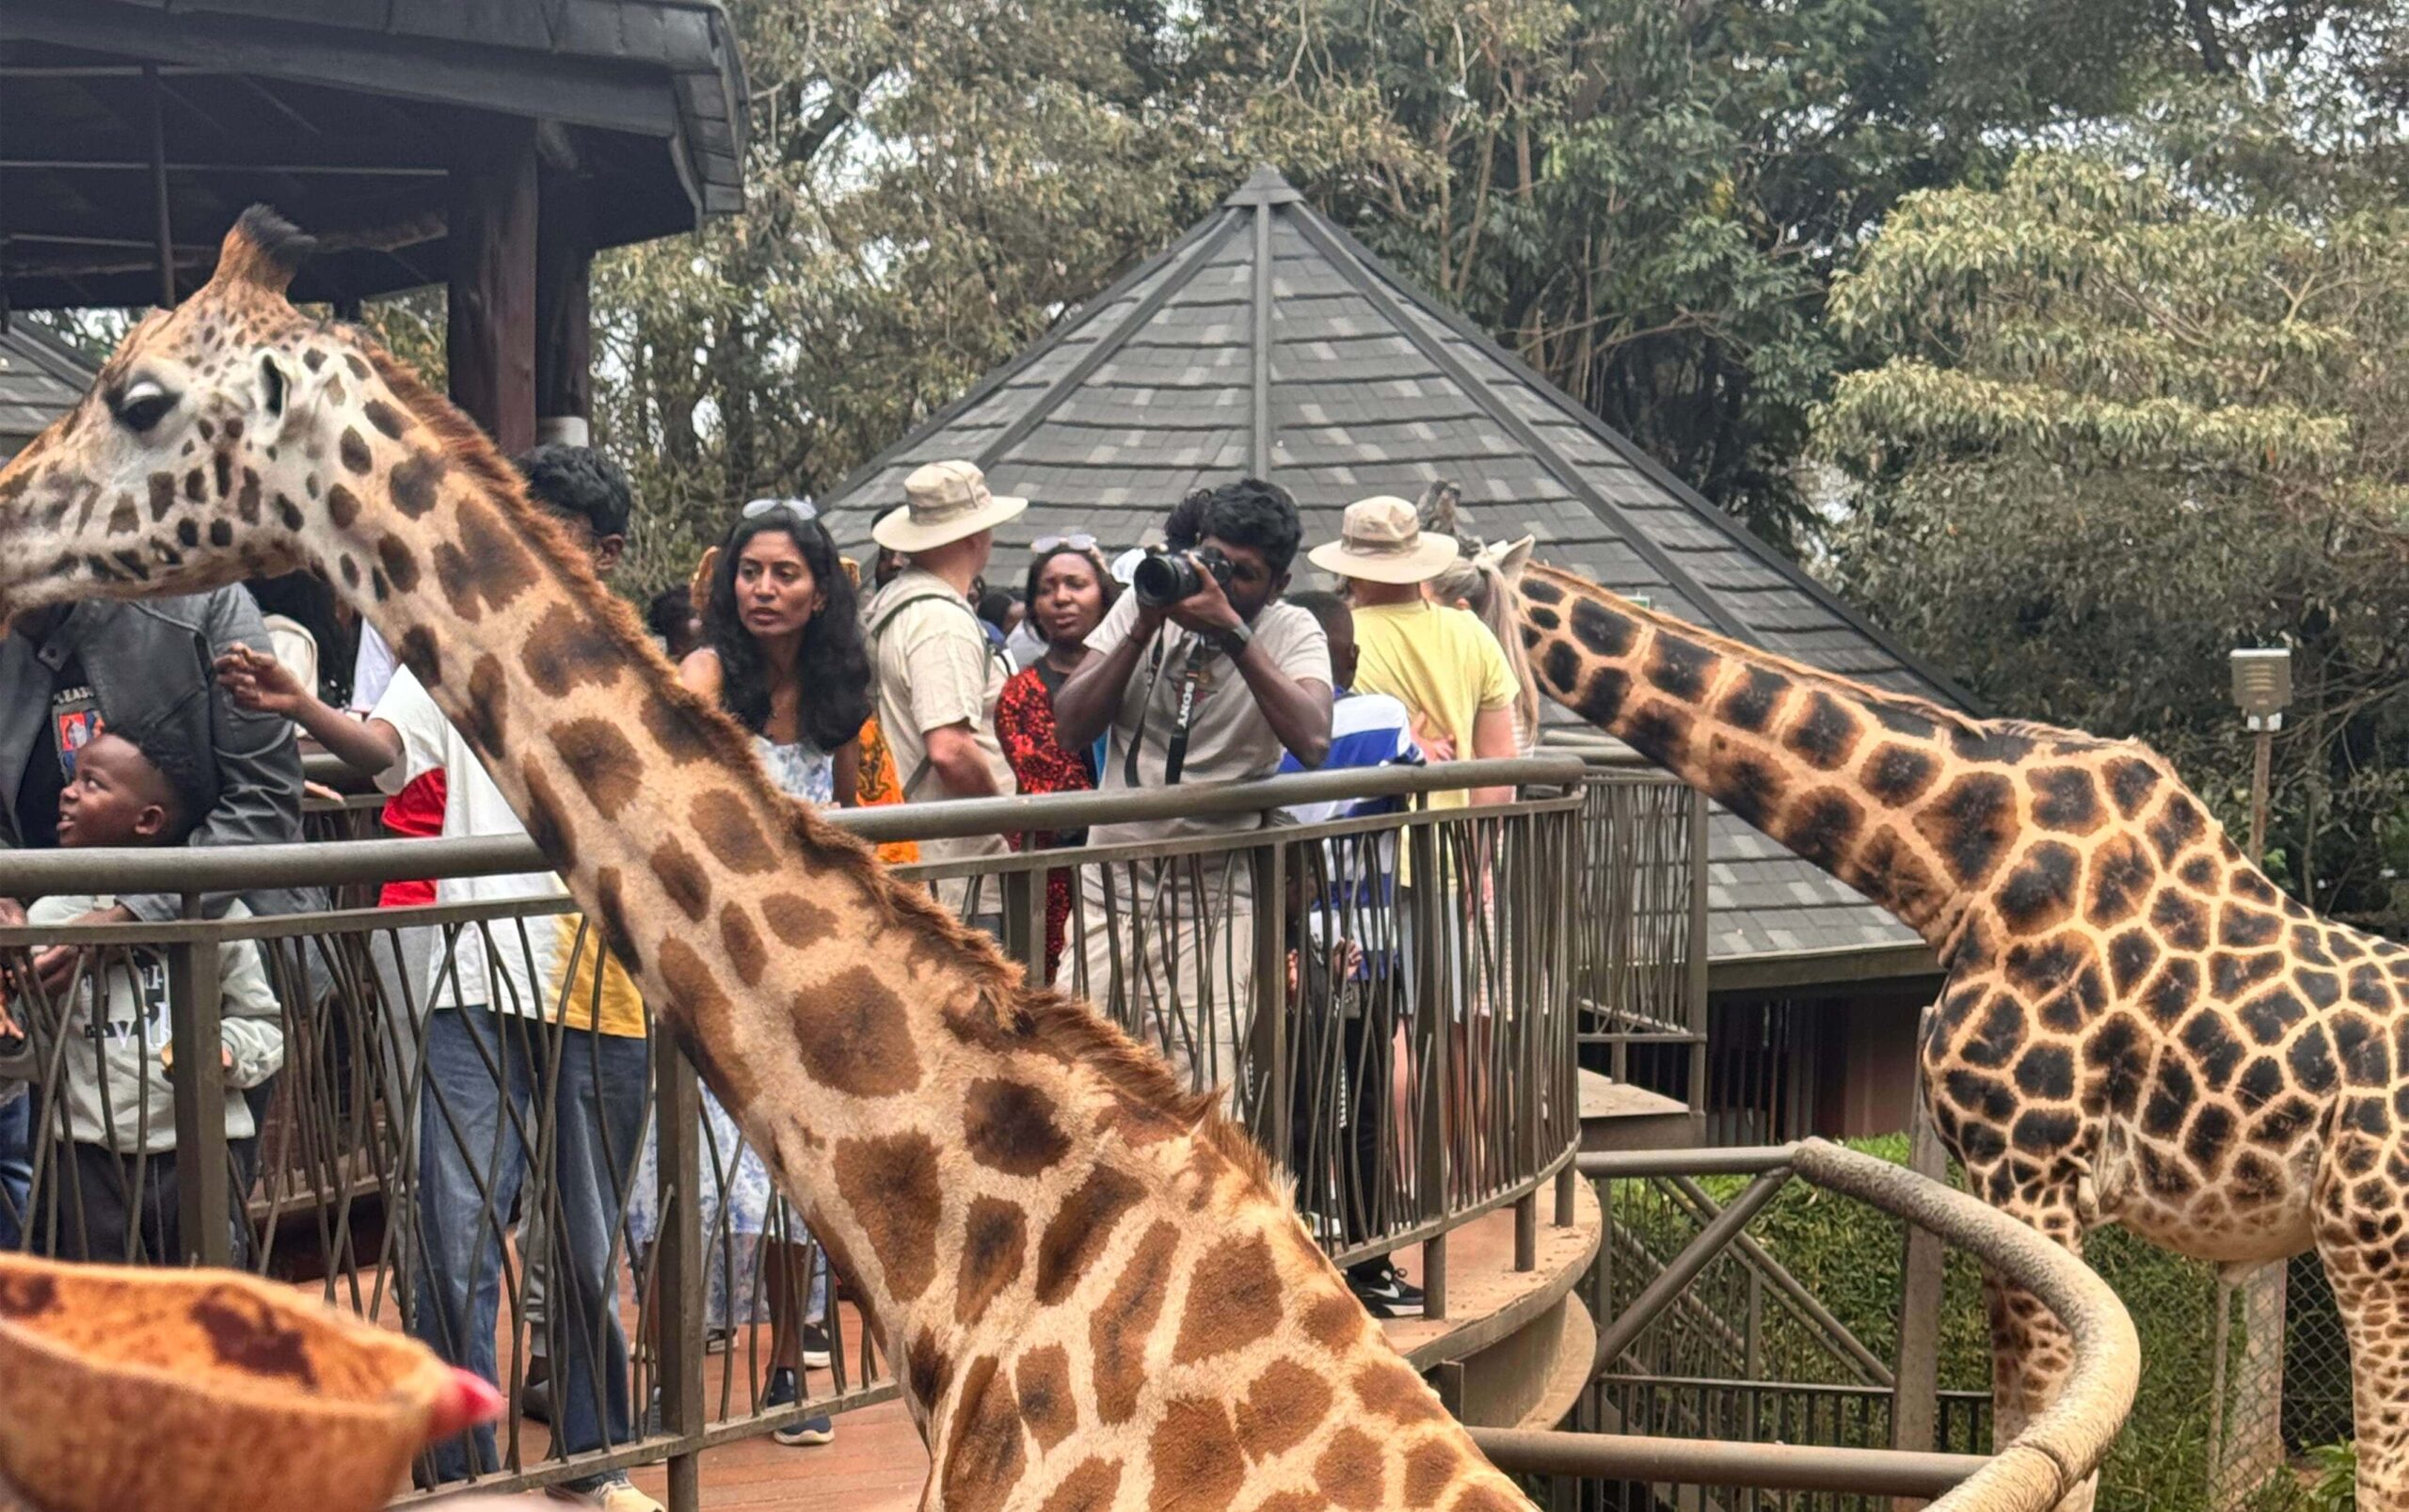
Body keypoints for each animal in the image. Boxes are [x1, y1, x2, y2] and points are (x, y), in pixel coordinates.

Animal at [1509, 559, 2409, 1509]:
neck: (1958, 861)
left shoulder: (2037, 1169)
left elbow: (2064, 1439)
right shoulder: (1994, 1177)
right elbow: (2016, 1426)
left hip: (2368, 1240)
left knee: (2384, 1466)